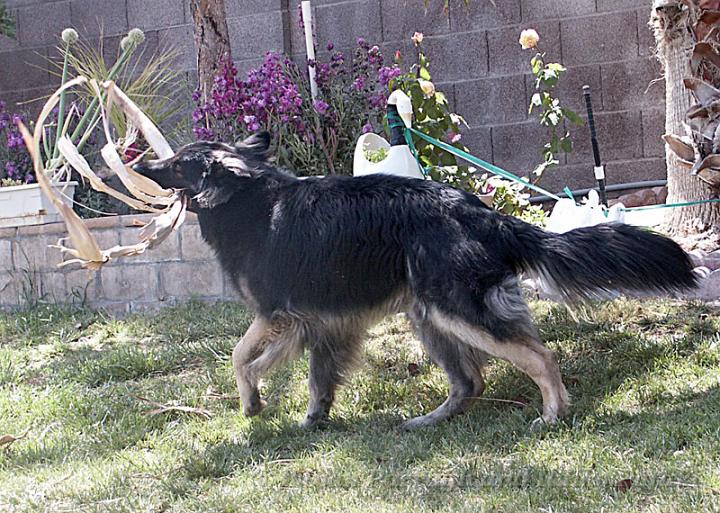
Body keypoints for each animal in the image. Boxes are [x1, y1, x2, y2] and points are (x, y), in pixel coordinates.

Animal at [134, 132, 696, 428]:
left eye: (178, 164)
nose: (142, 162)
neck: (245, 197)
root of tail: (481, 211)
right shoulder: (319, 322)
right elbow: (311, 375)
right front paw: (310, 418)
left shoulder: (277, 313)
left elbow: (240, 357)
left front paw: (252, 403)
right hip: (428, 316)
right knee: (471, 381)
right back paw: (430, 420)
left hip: (454, 310)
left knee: (540, 357)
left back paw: (553, 414)